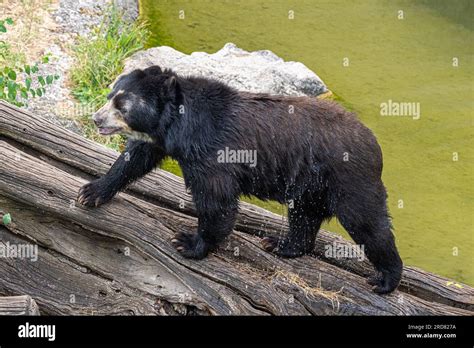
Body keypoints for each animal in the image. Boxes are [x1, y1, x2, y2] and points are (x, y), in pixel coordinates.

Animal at [78, 64, 404, 294]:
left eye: (123, 106)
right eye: (110, 95)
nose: (96, 118)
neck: (179, 125)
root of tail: (374, 144)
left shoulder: (211, 152)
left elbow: (216, 199)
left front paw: (189, 243)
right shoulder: (160, 139)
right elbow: (135, 159)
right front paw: (91, 192)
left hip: (347, 177)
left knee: (367, 222)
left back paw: (386, 278)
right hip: (309, 184)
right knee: (304, 216)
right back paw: (281, 244)